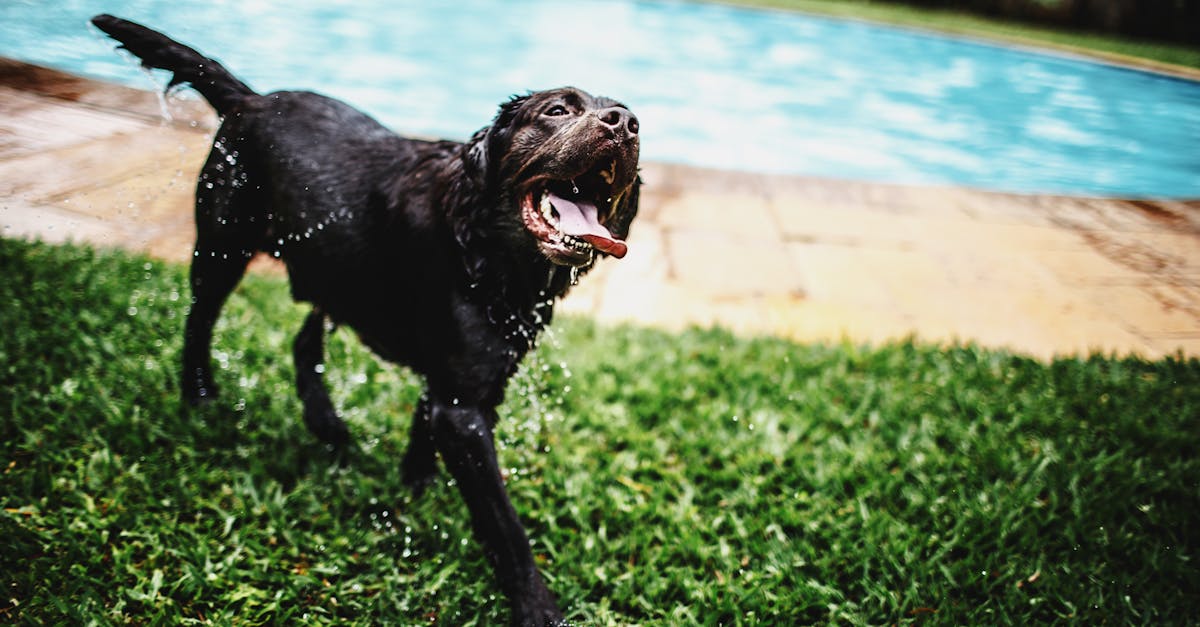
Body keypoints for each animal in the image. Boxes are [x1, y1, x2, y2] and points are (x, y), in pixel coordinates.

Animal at [92, 13, 638, 619]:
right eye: (557, 110)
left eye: (631, 119)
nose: (625, 123)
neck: (481, 246)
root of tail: (249, 99)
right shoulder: (463, 406)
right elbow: (505, 525)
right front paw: (537, 606)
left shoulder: (464, 382)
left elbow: (424, 434)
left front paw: (414, 490)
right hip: (223, 245)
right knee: (199, 321)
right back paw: (201, 397)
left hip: (329, 262)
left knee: (303, 342)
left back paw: (326, 424)